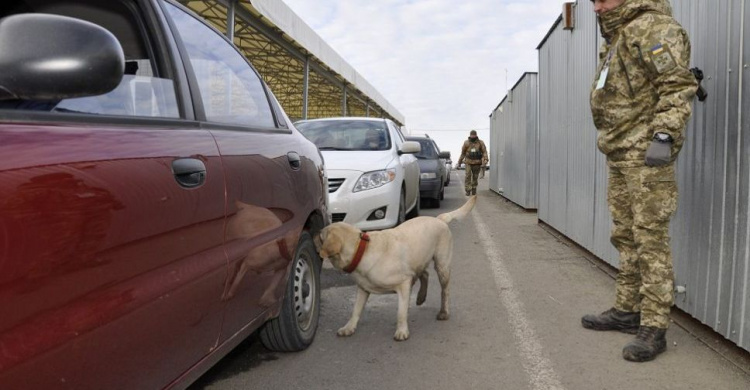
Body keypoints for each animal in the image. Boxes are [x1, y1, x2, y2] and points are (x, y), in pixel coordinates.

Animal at [314, 197, 478, 340]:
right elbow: (355, 310)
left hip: (442, 266)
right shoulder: (363, 289)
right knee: (424, 274)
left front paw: (402, 331)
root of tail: (439, 219)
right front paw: (349, 327)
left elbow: (401, 312)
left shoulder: (404, 284)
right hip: (418, 259)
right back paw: (421, 297)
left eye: (321, 236)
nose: (313, 234)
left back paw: (444, 312)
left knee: (444, 290)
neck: (361, 249)